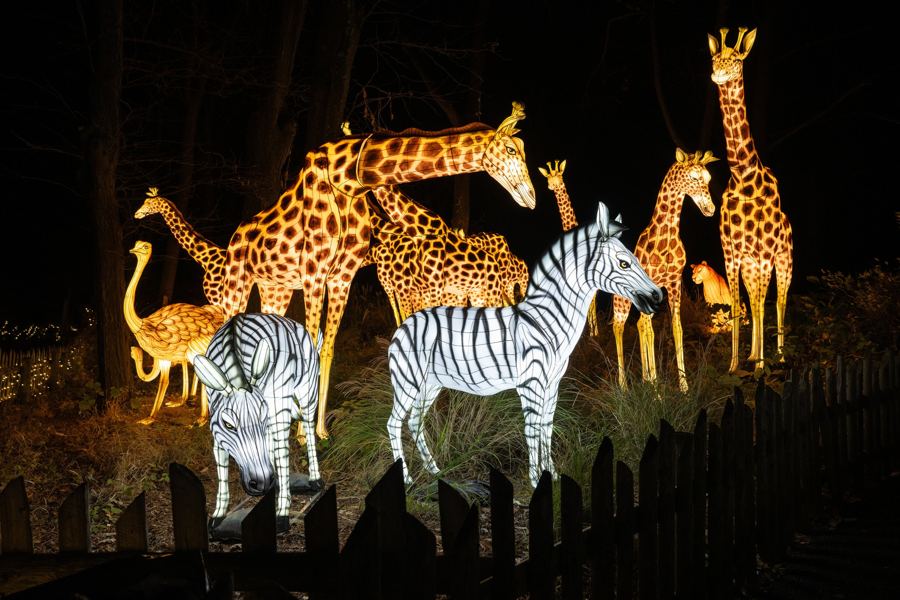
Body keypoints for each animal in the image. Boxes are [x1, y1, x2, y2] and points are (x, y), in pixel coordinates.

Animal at [124, 240, 225, 425]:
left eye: (145, 247)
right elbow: (165, 381)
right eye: (136, 243)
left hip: (195, 349)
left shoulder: (168, 356)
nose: (133, 250)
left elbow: (165, 382)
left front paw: (149, 418)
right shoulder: (165, 358)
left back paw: (201, 418)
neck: (145, 325)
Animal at [192, 313, 323, 529]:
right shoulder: (217, 428)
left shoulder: (276, 412)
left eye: (262, 417)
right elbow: (221, 465)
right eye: (228, 424)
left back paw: (314, 479)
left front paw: (282, 512)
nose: (261, 483)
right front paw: (219, 513)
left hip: (306, 393)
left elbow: (281, 454)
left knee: (308, 428)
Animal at [219, 102, 536, 439]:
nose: (531, 197)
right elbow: (313, 346)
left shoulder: (343, 278)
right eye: (510, 148)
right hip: (239, 284)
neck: (351, 178)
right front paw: (305, 434)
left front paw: (318, 430)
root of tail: (236, 236)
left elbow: (327, 347)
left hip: (275, 289)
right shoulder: (314, 273)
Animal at [387, 201, 663, 487]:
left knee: (414, 421)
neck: (546, 319)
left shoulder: (552, 383)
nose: (658, 296)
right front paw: (536, 480)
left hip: (430, 383)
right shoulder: (530, 382)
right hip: (408, 380)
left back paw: (434, 470)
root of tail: (406, 323)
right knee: (394, 423)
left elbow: (546, 427)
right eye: (624, 263)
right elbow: (532, 428)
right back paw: (406, 479)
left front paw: (552, 474)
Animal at [611, 149, 717, 392]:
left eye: (708, 178)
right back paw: (624, 386)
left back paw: (644, 379)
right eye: (693, 177)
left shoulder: (673, 282)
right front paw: (657, 393)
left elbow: (676, 327)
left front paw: (683, 388)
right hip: (621, 301)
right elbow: (649, 331)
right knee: (619, 327)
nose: (710, 209)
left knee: (639, 325)